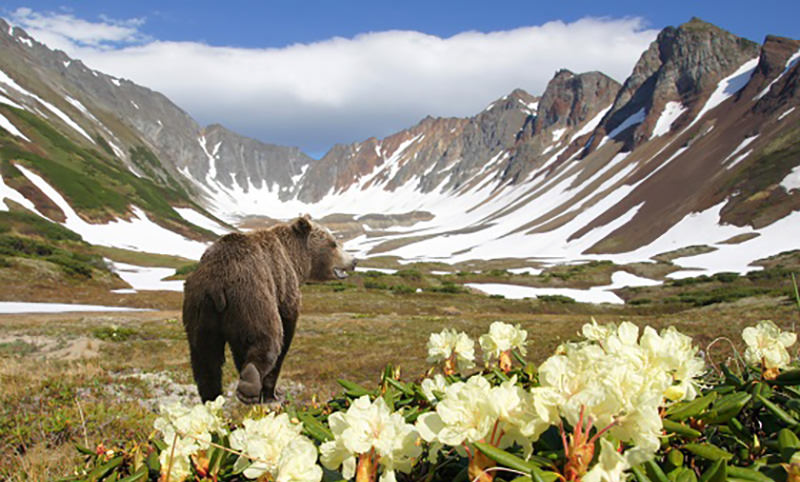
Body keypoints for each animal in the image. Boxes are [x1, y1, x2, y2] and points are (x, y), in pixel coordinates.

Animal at [183, 215, 358, 402]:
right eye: (334, 243)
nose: (354, 260)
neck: (297, 260)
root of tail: (217, 282)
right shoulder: (284, 287)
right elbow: (285, 331)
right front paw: (271, 392)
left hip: (200, 308)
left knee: (205, 357)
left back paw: (212, 395)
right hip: (252, 295)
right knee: (267, 337)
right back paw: (249, 386)